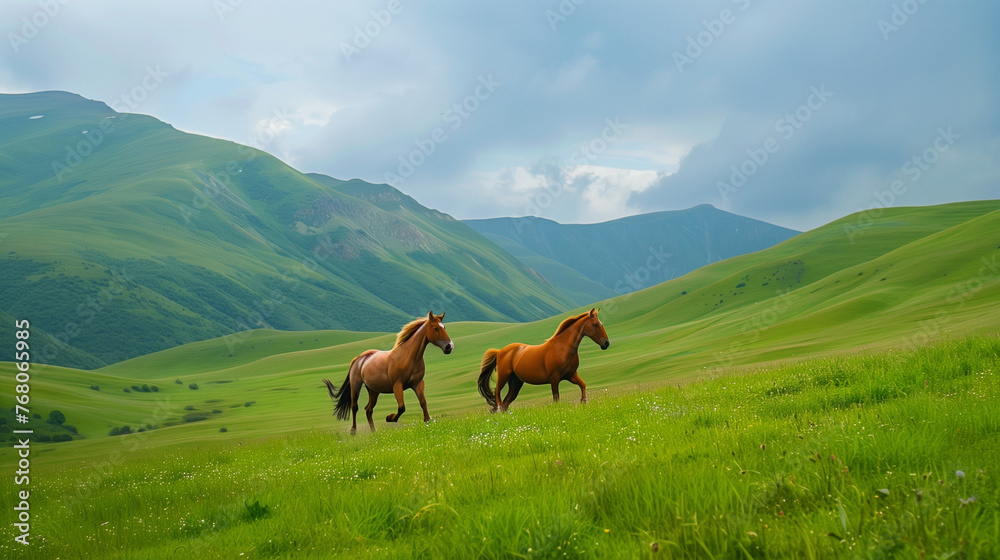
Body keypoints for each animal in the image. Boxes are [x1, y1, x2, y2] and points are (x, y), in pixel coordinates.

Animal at [323, 312, 454, 434]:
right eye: (436, 328)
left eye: (444, 327)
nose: (449, 346)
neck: (409, 357)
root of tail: (359, 358)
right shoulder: (397, 385)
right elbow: (401, 407)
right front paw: (389, 418)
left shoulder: (418, 383)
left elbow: (423, 403)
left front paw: (427, 421)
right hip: (355, 386)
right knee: (354, 407)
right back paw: (353, 431)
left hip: (373, 391)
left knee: (368, 410)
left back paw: (374, 432)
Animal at [477, 308, 610, 412]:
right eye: (596, 324)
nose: (606, 343)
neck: (562, 348)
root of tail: (500, 352)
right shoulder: (554, 380)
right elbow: (556, 398)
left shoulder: (571, 375)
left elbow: (583, 385)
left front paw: (583, 402)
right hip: (503, 377)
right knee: (498, 395)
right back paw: (498, 410)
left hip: (516, 383)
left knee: (506, 402)